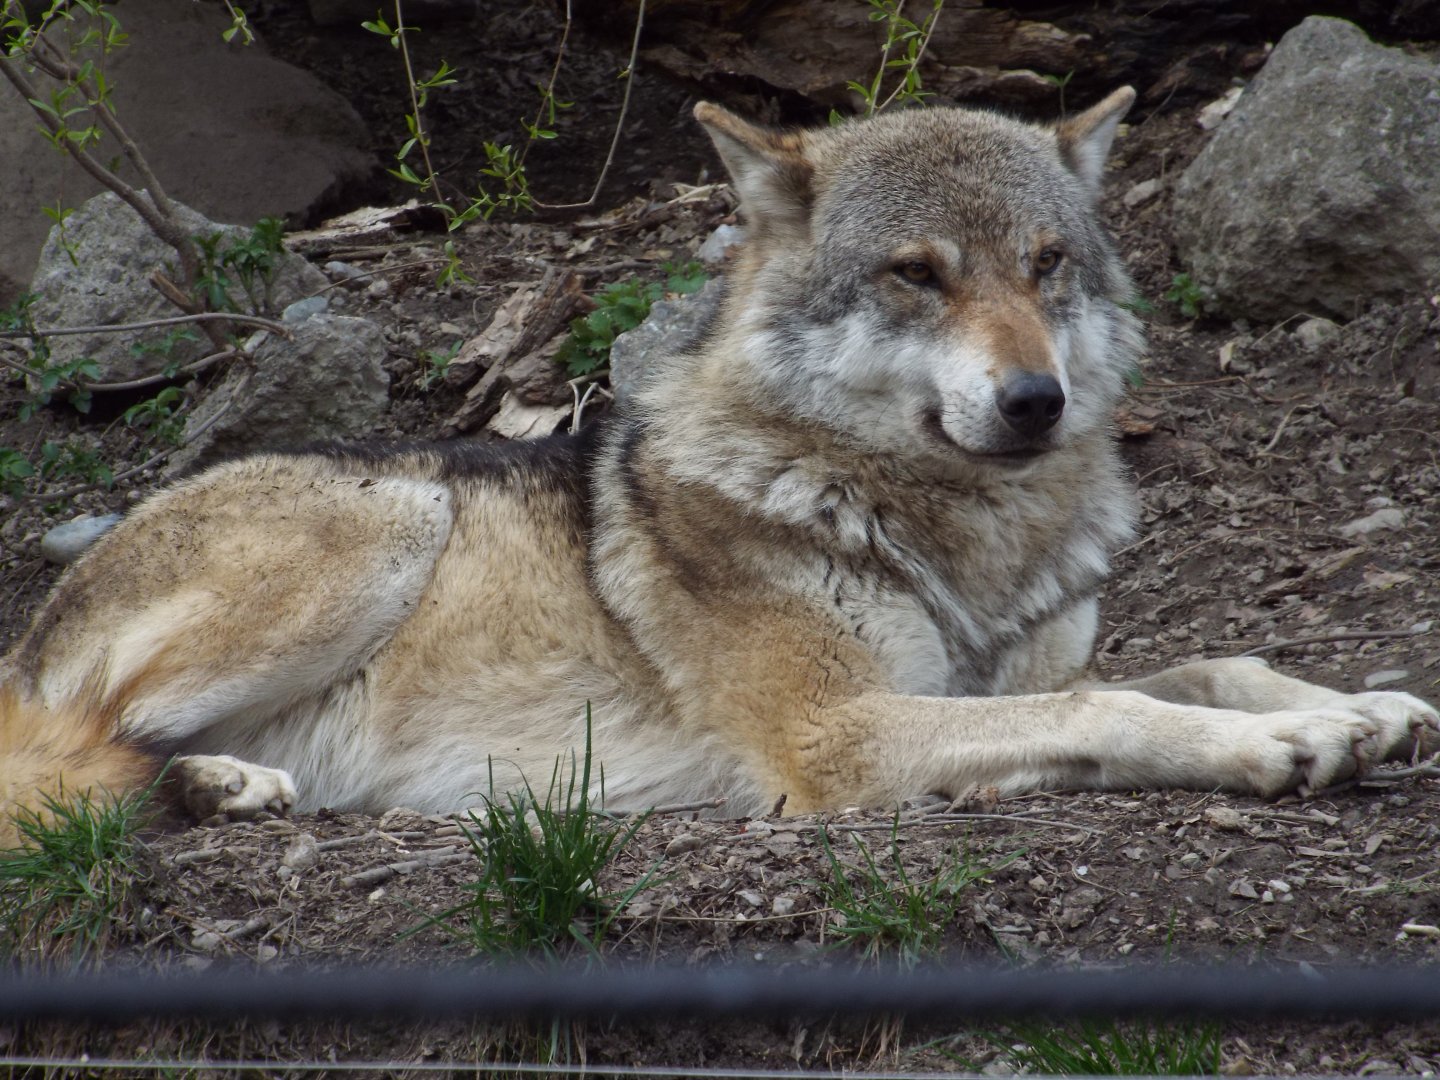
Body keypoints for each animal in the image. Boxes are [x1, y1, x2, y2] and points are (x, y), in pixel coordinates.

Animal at [1, 89, 1435, 845]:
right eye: (917, 275)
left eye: (1047, 265)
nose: (1038, 399)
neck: (955, 538)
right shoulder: (834, 737)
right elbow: (1112, 705)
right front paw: (1288, 740)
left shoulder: (1007, 668)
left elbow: (1207, 660)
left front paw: (1368, 702)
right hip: (395, 514)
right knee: (67, 752)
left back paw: (228, 788)